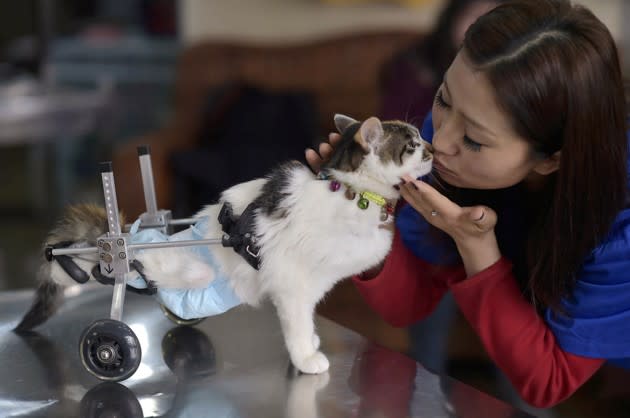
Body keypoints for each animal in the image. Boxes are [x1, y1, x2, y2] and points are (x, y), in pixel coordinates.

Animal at [14, 112, 432, 374]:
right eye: (412, 144)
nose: (431, 149)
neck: (350, 191)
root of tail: (124, 237)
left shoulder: (312, 284)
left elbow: (307, 318)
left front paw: (312, 343)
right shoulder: (293, 284)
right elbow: (297, 323)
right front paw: (305, 357)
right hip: (153, 264)